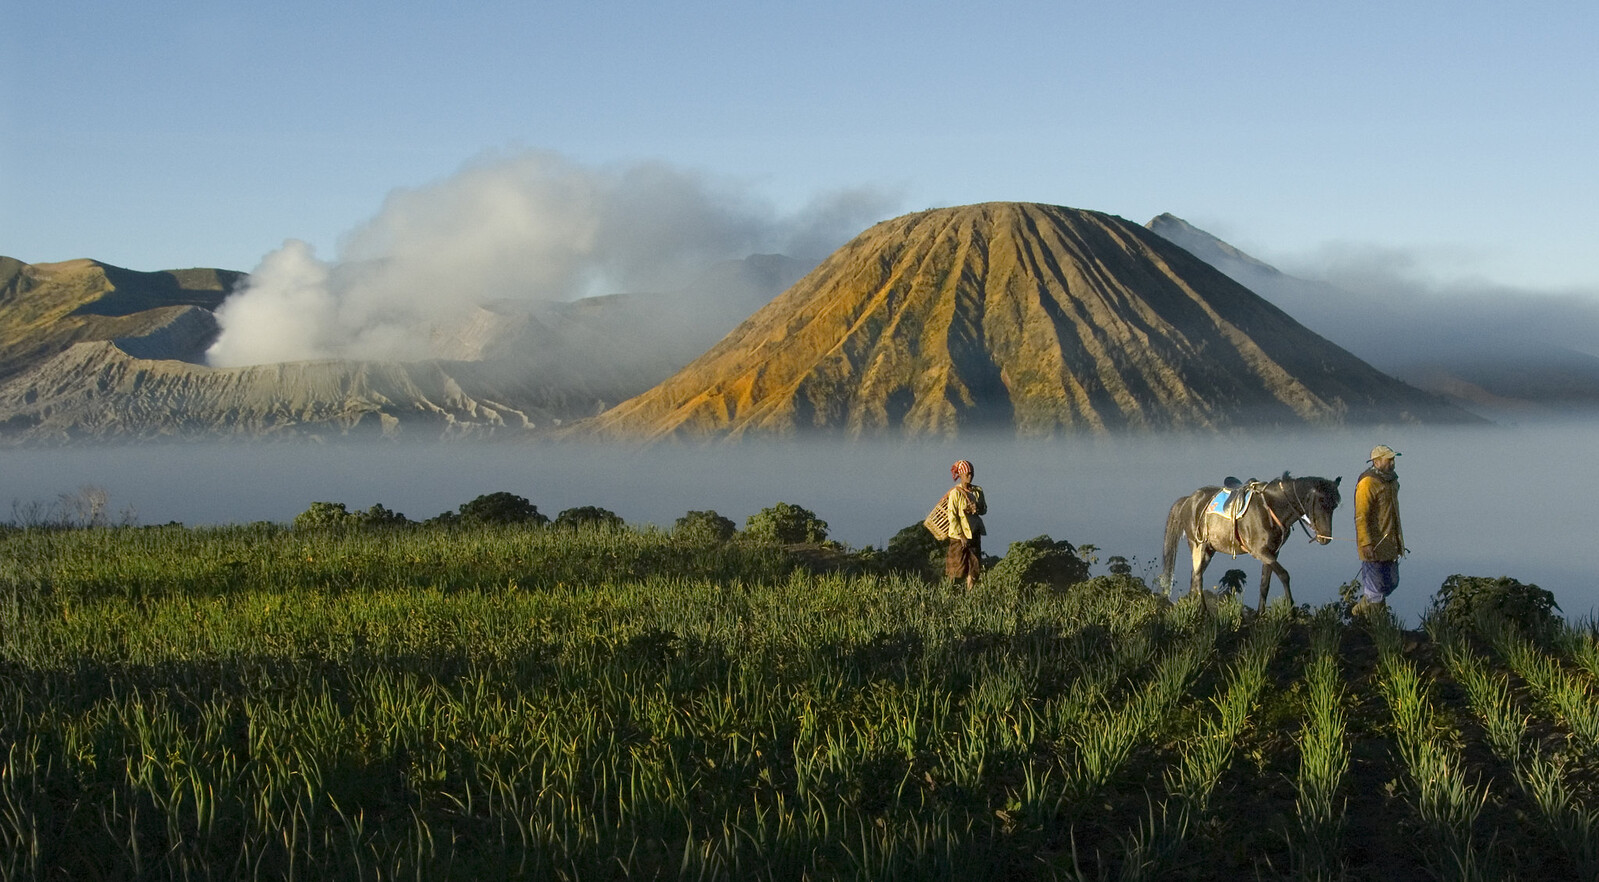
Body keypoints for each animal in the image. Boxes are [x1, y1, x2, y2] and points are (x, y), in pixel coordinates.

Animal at [1157, 472, 1343, 610]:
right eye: (1320, 501)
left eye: (1334, 506)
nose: (1325, 538)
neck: (1270, 507)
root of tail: (1189, 499)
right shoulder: (1259, 551)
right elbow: (1284, 575)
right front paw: (1291, 610)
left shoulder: (1272, 553)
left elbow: (1265, 584)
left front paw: (1260, 615)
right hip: (1198, 545)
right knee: (1197, 578)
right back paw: (1204, 612)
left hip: (1209, 550)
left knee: (1195, 577)